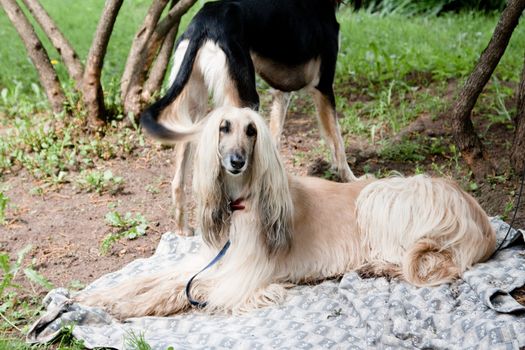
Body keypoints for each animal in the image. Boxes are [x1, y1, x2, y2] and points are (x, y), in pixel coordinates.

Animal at [139, 0, 356, 237]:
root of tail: (204, 21)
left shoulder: (281, 93)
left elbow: (272, 141)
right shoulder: (323, 87)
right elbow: (337, 143)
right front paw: (353, 181)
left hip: (191, 107)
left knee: (178, 179)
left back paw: (183, 229)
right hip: (243, 101)